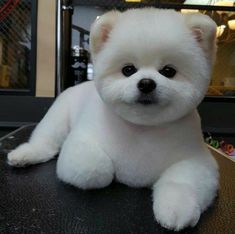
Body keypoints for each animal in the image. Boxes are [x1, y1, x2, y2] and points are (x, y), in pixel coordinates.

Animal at [8, 8, 219, 230]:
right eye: (128, 70)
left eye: (169, 71)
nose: (146, 83)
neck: (143, 129)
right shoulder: (81, 141)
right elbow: (95, 168)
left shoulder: (196, 159)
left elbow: (182, 182)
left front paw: (178, 207)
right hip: (58, 117)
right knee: (46, 140)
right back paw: (26, 154)